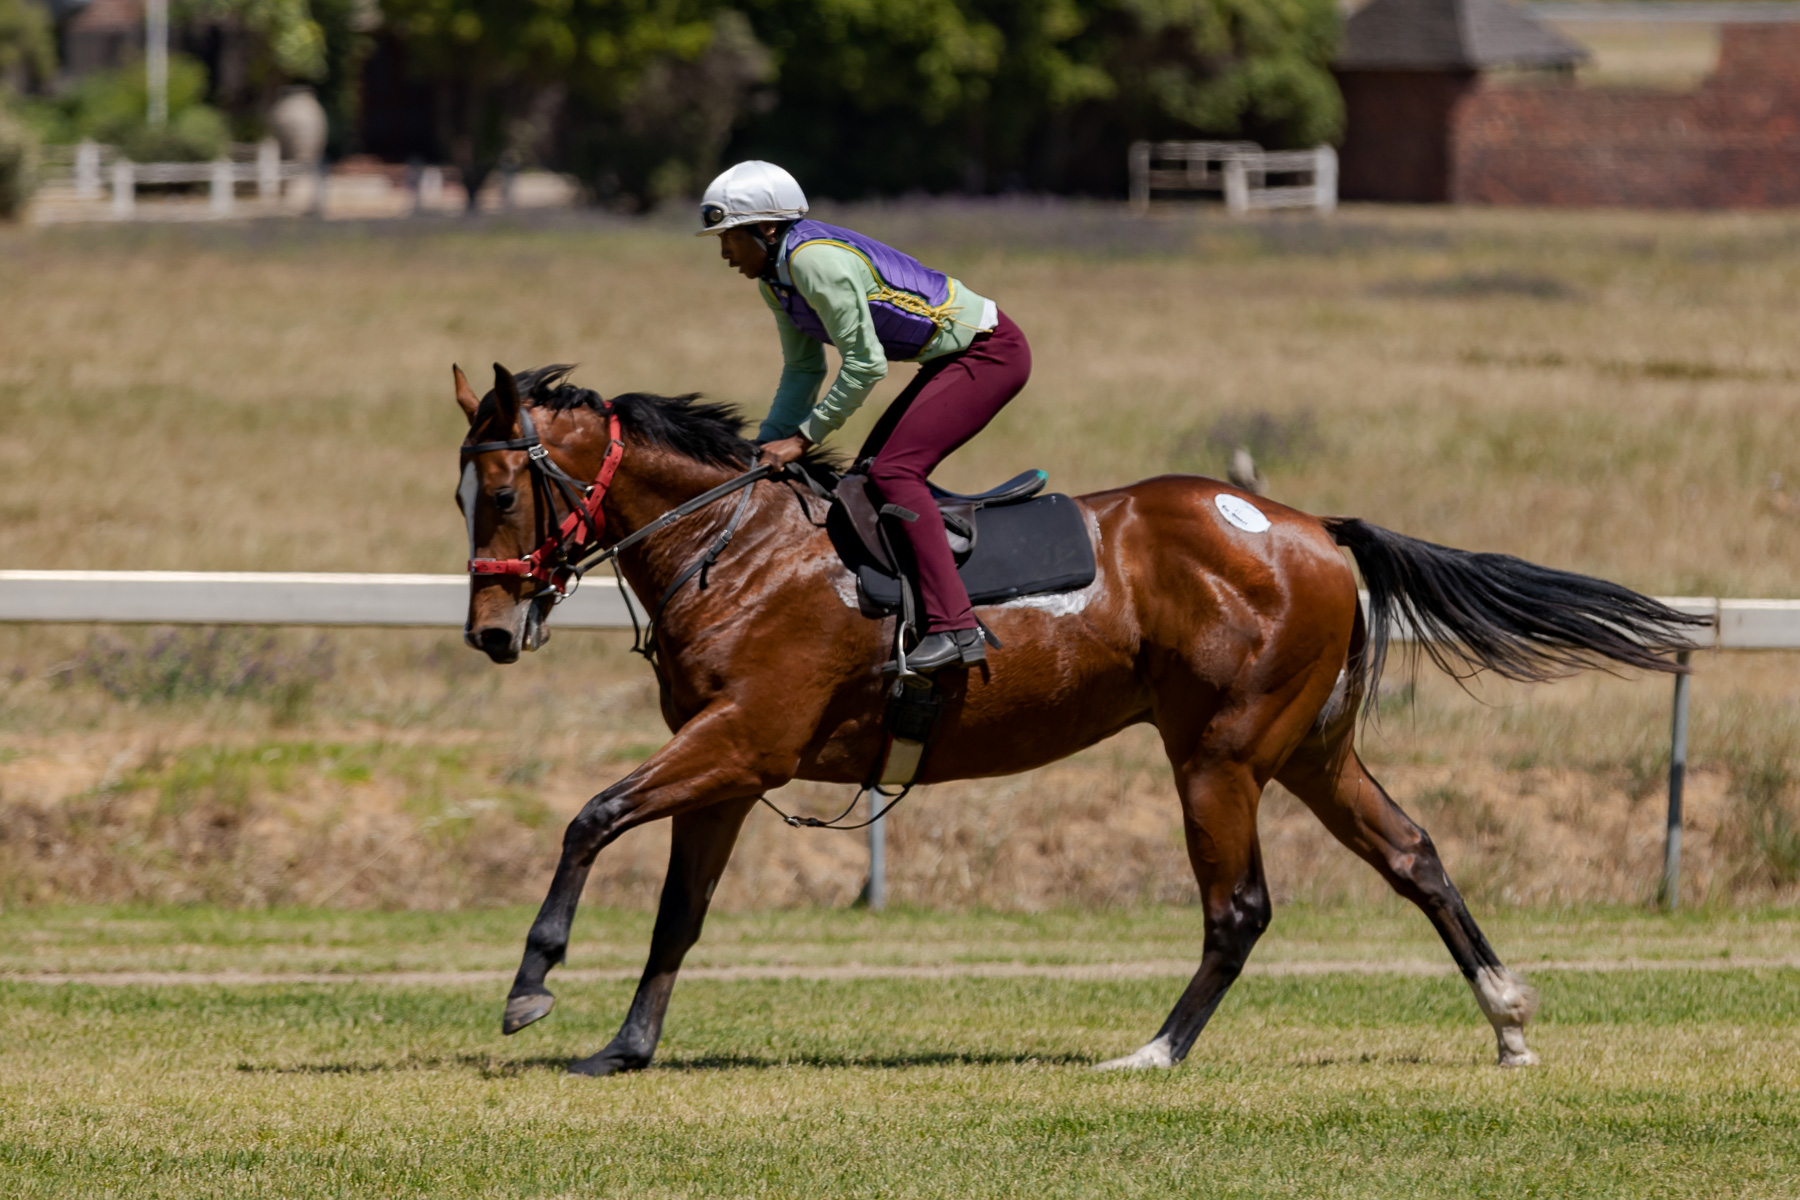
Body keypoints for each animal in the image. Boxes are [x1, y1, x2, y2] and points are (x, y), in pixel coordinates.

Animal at [450, 361, 1699, 1072]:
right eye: (461, 494)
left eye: (502, 491)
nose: (492, 634)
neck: (736, 544)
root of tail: (1312, 528)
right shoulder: (736, 767)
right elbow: (678, 913)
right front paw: (625, 1047)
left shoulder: (740, 741)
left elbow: (591, 817)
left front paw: (530, 984)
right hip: (1310, 751)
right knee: (1416, 856)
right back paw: (1508, 1018)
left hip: (1218, 754)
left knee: (1240, 909)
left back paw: (1155, 1052)